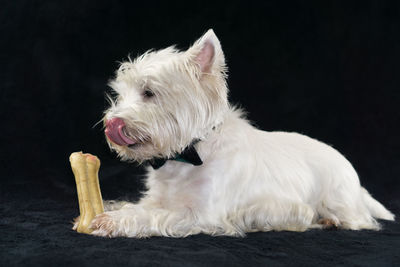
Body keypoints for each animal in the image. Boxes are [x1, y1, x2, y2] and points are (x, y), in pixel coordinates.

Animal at [88, 29, 394, 239]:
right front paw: (112, 208)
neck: (190, 154)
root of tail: (353, 176)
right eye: (120, 94)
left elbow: (154, 216)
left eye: (149, 93)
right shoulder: (160, 198)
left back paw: (330, 220)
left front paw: (113, 220)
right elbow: (141, 205)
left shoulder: (202, 214)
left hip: (338, 199)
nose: (110, 124)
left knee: (357, 219)